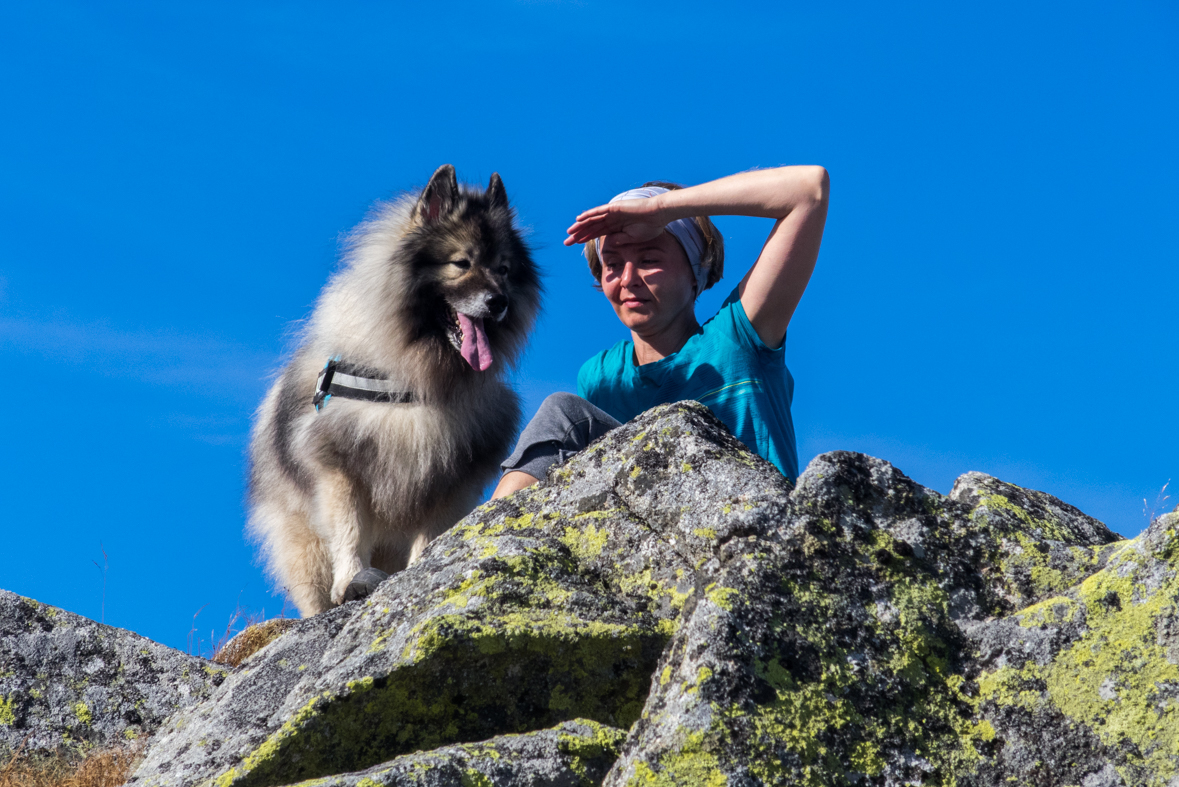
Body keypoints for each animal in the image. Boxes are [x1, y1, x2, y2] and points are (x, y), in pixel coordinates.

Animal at [253, 166, 542, 617]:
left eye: (505, 269)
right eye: (462, 263)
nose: (499, 302)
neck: (417, 377)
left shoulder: (449, 477)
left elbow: (430, 536)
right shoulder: (340, 466)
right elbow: (350, 530)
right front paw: (352, 581)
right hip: (302, 545)